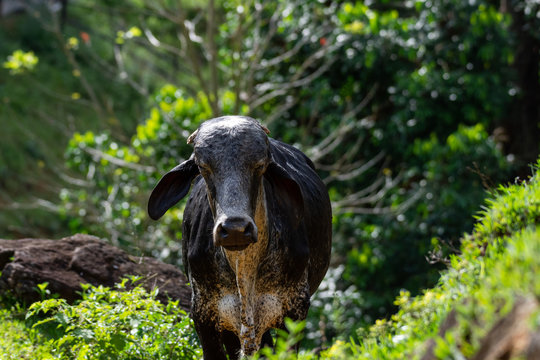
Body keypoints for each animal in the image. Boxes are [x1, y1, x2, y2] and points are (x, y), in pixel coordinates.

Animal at [149, 116, 334, 358]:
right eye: (202, 166)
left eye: (260, 165)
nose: (235, 228)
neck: (244, 268)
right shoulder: (203, 315)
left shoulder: (296, 310)